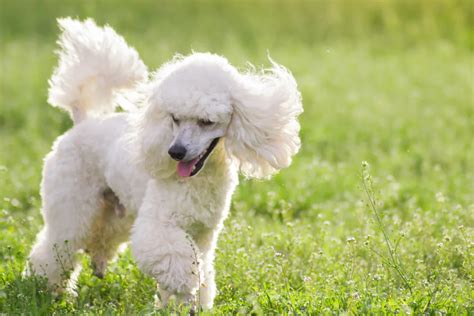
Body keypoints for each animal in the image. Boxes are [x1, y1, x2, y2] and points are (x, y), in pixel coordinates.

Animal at [27, 17, 304, 308]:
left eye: (206, 121)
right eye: (175, 118)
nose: (175, 152)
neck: (199, 179)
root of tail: (81, 123)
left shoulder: (203, 234)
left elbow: (202, 270)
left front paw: (187, 305)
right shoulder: (160, 226)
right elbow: (180, 264)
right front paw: (186, 286)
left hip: (116, 209)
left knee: (100, 237)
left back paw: (95, 265)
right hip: (72, 204)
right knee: (57, 244)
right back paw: (47, 289)